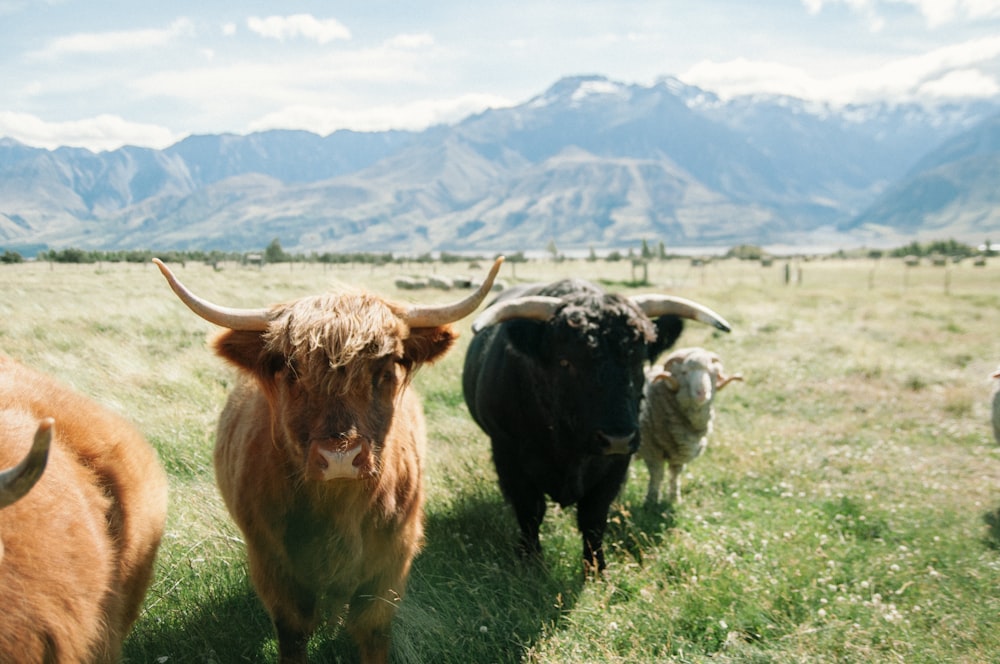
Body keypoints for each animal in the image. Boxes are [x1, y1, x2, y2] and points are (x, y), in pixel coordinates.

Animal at [151, 255, 500, 664]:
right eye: (291, 370)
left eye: (385, 370)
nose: (340, 456)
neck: (338, 510)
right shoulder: (273, 564)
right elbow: (293, 631)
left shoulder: (392, 558)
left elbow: (372, 629)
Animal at [636, 348, 740, 504]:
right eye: (684, 372)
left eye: (712, 373)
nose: (702, 393)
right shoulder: (651, 449)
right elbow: (657, 475)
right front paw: (651, 500)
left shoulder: (678, 453)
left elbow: (675, 475)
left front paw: (675, 498)